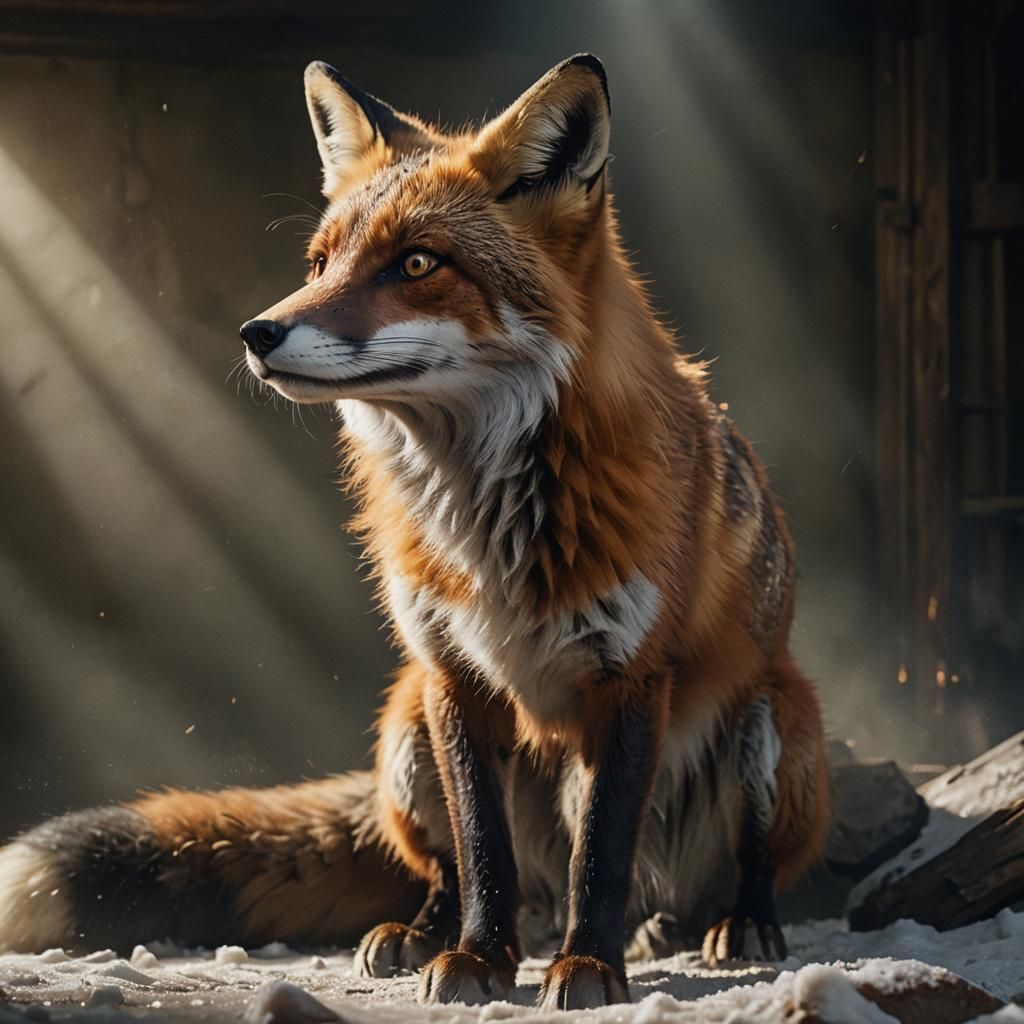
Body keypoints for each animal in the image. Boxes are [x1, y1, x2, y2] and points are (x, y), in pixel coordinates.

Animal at [0, 55, 829, 1010]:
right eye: (320, 263)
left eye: (418, 262)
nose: (257, 333)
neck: (490, 521)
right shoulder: (452, 672)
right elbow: (481, 851)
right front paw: (477, 958)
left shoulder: (631, 676)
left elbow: (600, 856)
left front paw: (587, 966)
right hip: (404, 727)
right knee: (453, 870)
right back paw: (426, 932)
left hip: (773, 728)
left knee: (733, 863)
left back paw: (729, 924)